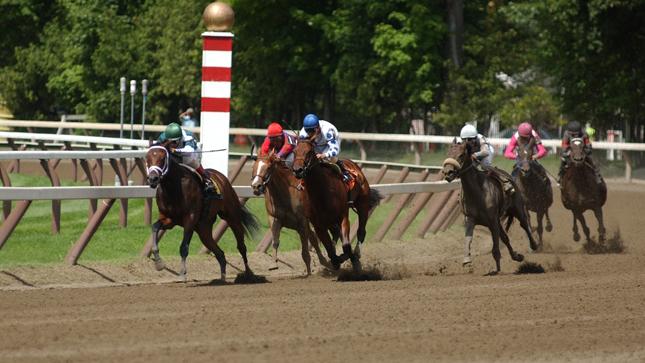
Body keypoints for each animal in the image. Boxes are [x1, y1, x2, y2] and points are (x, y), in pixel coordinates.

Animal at [145, 144, 258, 282]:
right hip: (203, 229)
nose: (152, 179)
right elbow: (155, 227)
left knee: (241, 246)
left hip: (232, 217)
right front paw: (158, 262)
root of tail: (222, 177)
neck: (173, 188)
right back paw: (222, 278)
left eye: (162, 158)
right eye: (147, 158)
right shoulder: (169, 219)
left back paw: (248, 273)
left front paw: (182, 274)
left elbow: (184, 247)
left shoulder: (190, 219)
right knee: (220, 253)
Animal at [290, 140, 380, 272]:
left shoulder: (342, 217)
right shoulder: (318, 225)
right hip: (329, 221)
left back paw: (357, 253)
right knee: (336, 234)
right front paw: (335, 261)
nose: (298, 170)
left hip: (362, 204)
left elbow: (346, 246)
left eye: (309, 151)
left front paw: (352, 259)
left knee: (361, 232)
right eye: (294, 151)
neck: (321, 192)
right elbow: (330, 250)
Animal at [442, 141, 540, 274]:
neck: (477, 192)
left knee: (524, 225)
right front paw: (467, 261)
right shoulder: (471, 219)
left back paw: (534, 245)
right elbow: (468, 239)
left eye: (461, 155)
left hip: (517, 208)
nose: (448, 172)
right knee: (505, 237)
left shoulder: (492, 220)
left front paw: (497, 270)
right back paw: (516, 256)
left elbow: (496, 247)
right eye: (448, 153)